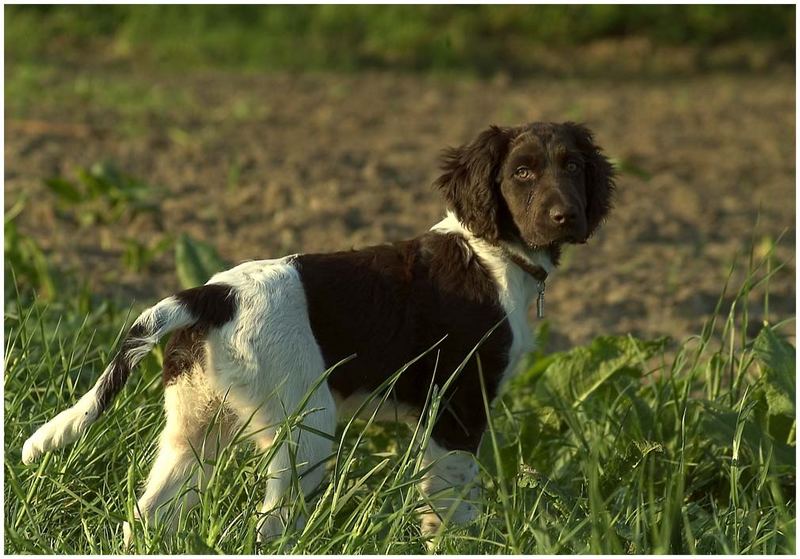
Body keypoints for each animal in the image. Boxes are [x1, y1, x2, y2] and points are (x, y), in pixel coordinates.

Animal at [21, 121, 616, 548]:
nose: (567, 217)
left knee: (145, 518)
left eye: (573, 166)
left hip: (195, 432)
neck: (491, 253)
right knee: (267, 528)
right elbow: (451, 506)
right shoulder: (458, 409)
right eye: (522, 173)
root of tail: (214, 296)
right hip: (304, 427)